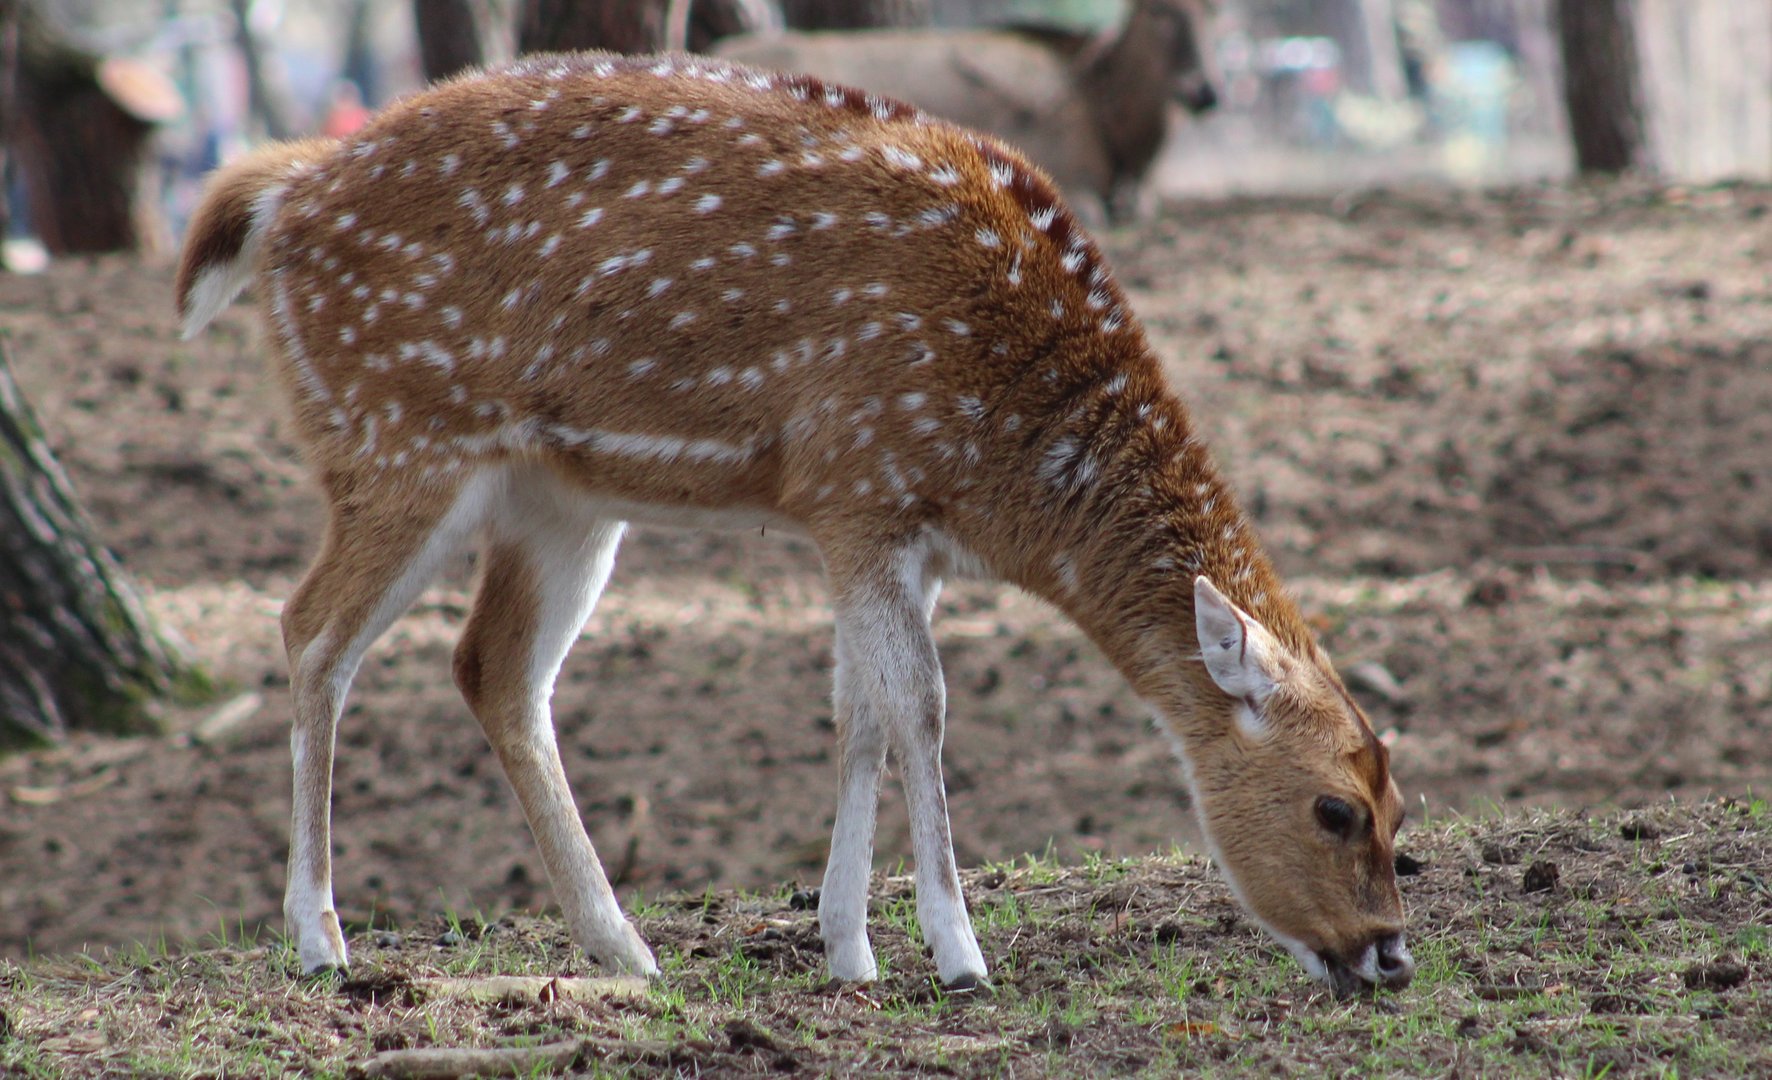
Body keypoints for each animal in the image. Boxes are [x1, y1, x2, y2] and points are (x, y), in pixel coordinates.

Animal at [174, 50, 1412, 997]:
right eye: (1334, 809)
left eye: (1402, 803)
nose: (1387, 957)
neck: (1003, 464)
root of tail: (277, 194)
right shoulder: (858, 481)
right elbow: (920, 707)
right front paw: (956, 957)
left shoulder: (887, 533)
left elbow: (857, 709)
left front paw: (847, 949)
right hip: (394, 434)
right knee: (310, 631)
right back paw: (320, 939)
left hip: (555, 498)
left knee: (495, 667)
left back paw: (622, 947)